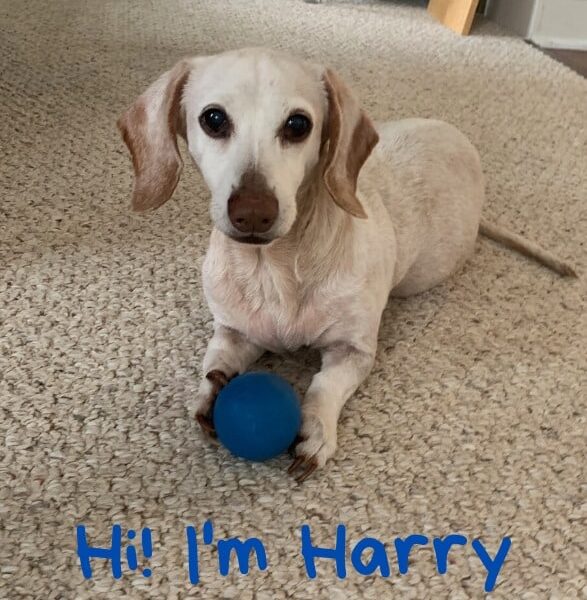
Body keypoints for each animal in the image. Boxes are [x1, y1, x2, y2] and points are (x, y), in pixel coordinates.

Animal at [117, 47, 576, 480]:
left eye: (298, 125)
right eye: (213, 119)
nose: (253, 213)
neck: (273, 271)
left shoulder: (353, 351)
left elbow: (325, 385)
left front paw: (316, 430)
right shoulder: (233, 331)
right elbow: (215, 361)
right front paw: (212, 392)